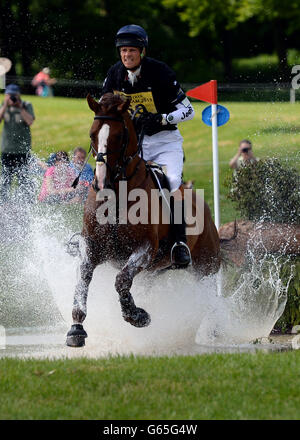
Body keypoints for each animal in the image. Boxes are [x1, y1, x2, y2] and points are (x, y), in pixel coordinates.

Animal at [65, 93, 220, 348]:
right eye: (92, 134)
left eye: (119, 136)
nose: (101, 184)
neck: (117, 194)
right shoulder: (92, 247)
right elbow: (83, 280)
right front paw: (76, 328)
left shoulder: (144, 248)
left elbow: (121, 280)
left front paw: (137, 316)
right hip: (154, 272)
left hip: (206, 266)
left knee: (210, 296)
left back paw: (214, 329)